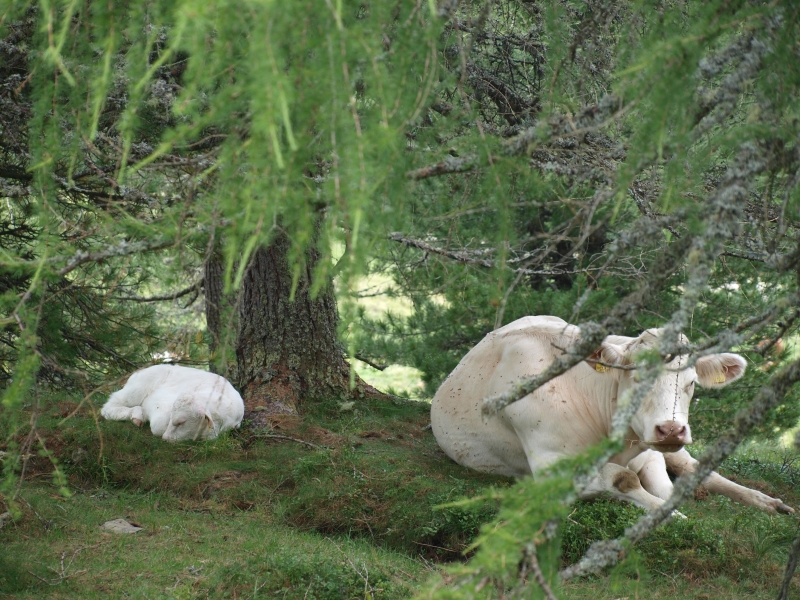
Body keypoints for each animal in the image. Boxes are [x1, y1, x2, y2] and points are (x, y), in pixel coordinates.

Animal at [101, 364, 244, 442]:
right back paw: (136, 415)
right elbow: (158, 424)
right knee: (109, 406)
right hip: (136, 390)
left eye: (181, 422)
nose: (165, 438)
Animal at [432, 314, 792, 516]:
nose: (671, 429)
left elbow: (667, 487)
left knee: (698, 467)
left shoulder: (650, 450)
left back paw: (768, 502)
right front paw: (668, 516)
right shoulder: (553, 466)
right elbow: (624, 479)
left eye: (691, 383)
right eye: (637, 376)